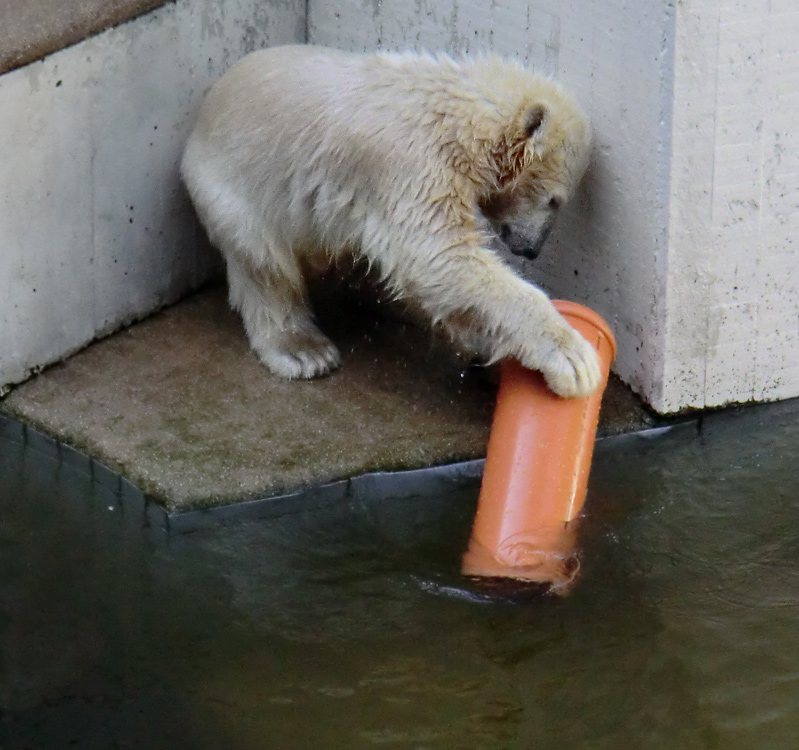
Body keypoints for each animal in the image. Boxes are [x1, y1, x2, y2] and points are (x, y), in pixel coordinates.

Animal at [181, 45, 600, 400]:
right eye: (555, 200)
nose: (531, 249)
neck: (459, 114)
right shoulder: (412, 164)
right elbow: (437, 256)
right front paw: (574, 360)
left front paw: (492, 356)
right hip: (235, 192)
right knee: (265, 265)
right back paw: (303, 350)